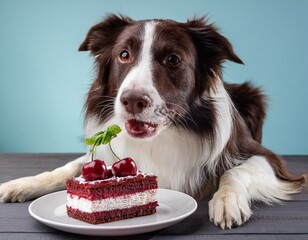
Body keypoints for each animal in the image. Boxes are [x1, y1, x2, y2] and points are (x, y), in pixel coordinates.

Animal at [0, 14, 306, 229]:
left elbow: (235, 172)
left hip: (254, 97)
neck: (165, 135)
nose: (132, 100)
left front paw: (226, 202)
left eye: (172, 59)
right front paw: (20, 184)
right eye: (124, 55)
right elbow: (66, 168)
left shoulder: (269, 159)